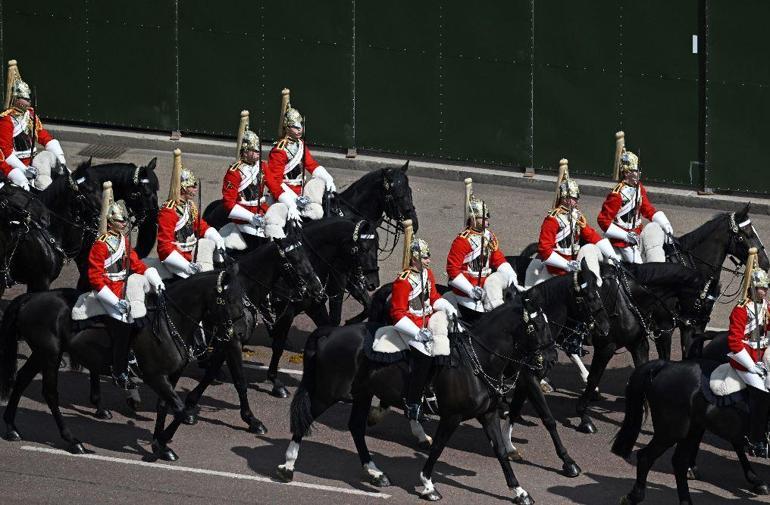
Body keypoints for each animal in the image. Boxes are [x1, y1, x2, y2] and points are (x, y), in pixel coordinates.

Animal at [0, 266, 246, 458]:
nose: (237, 334)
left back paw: (11, 428)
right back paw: (72, 440)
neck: (169, 324)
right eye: (227, 299)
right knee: (50, 393)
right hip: (50, 354)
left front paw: (160, 444)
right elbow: (180, 409)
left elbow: (167, 407)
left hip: (41, 354)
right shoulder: (154, 375)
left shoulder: (171, 375)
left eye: (242, 298)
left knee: (21, 380)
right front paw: (161, 443)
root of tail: (31, 298)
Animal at [276, 290, 552, 502]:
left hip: (362, 393)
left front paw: (519, 491)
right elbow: (438, 448)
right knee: (306, 419)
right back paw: (288, 466)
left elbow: (501, 452)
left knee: (355, 427)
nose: (548, 361)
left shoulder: (488, 414)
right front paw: (428, 485)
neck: (477, 361)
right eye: (536, 325)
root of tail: (330, 332)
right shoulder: (452, 416)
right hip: (329, 392)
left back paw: (375, 472)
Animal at [608, 356, 764, 502]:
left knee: (679, 462)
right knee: (646, 457)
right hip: (671, 432)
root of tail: (666, 365)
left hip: (691, 430)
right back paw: (635, 496)